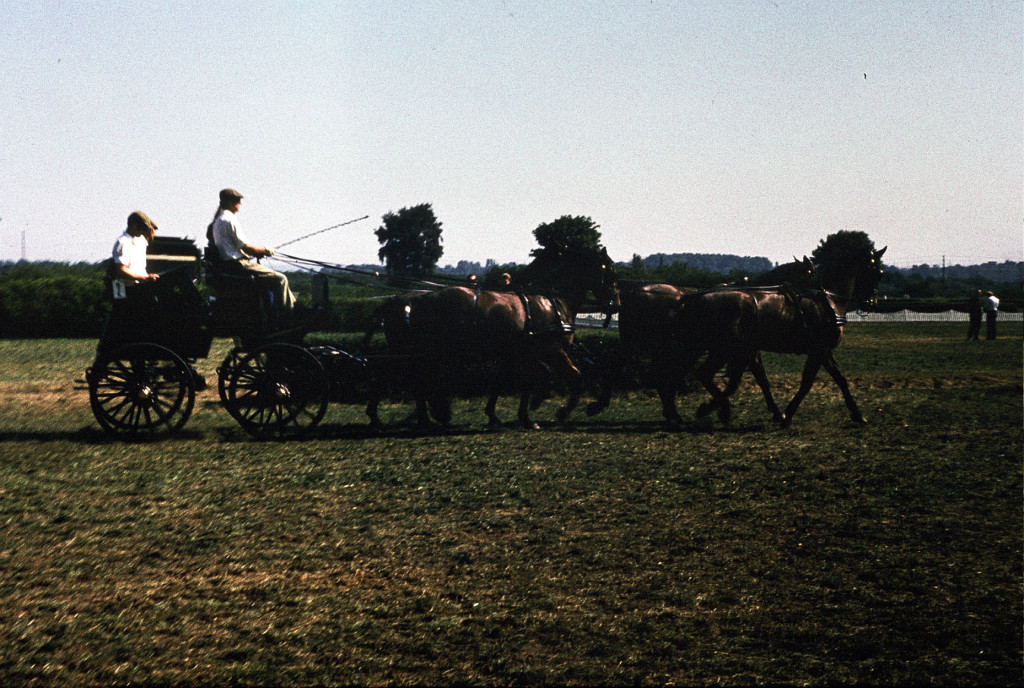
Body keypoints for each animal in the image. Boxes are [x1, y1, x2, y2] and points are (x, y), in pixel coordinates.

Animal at [372, 245, 618, 430]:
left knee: (404, 377)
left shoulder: (521, 353)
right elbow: (574, 375)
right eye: (609, 271)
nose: (616, 303)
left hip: (413, 352)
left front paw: (507, 414)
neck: (553, 303)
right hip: (418, 352)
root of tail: (402, 299)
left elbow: (515, 380)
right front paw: (560, 411)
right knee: (407, 378)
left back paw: (417, 417)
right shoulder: (553, 351)